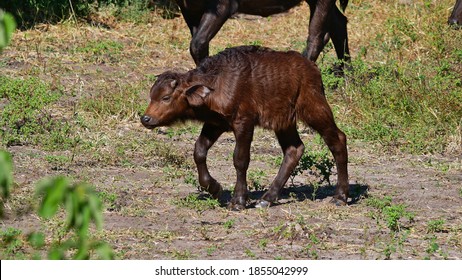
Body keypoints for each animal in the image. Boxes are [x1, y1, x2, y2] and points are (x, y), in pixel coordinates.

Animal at [139, 46, 348, 211]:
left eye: (166, 97)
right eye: (151, 95)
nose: (145, 118)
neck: (218, 82)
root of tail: (312, 68)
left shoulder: (244, 124)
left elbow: (240, 160)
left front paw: (238, 200)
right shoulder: (215, 123)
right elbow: (199, 151)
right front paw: (214, 188)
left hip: (314, 109)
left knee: (338, 139)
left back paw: (340, 196)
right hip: (284, 122)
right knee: (294, 149)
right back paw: (267, 199)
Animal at [175, 0, 348, 67]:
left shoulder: (222, 6)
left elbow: (197, 44)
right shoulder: (188, 9)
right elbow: (198, 45)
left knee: (316, 38)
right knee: (339, 24)